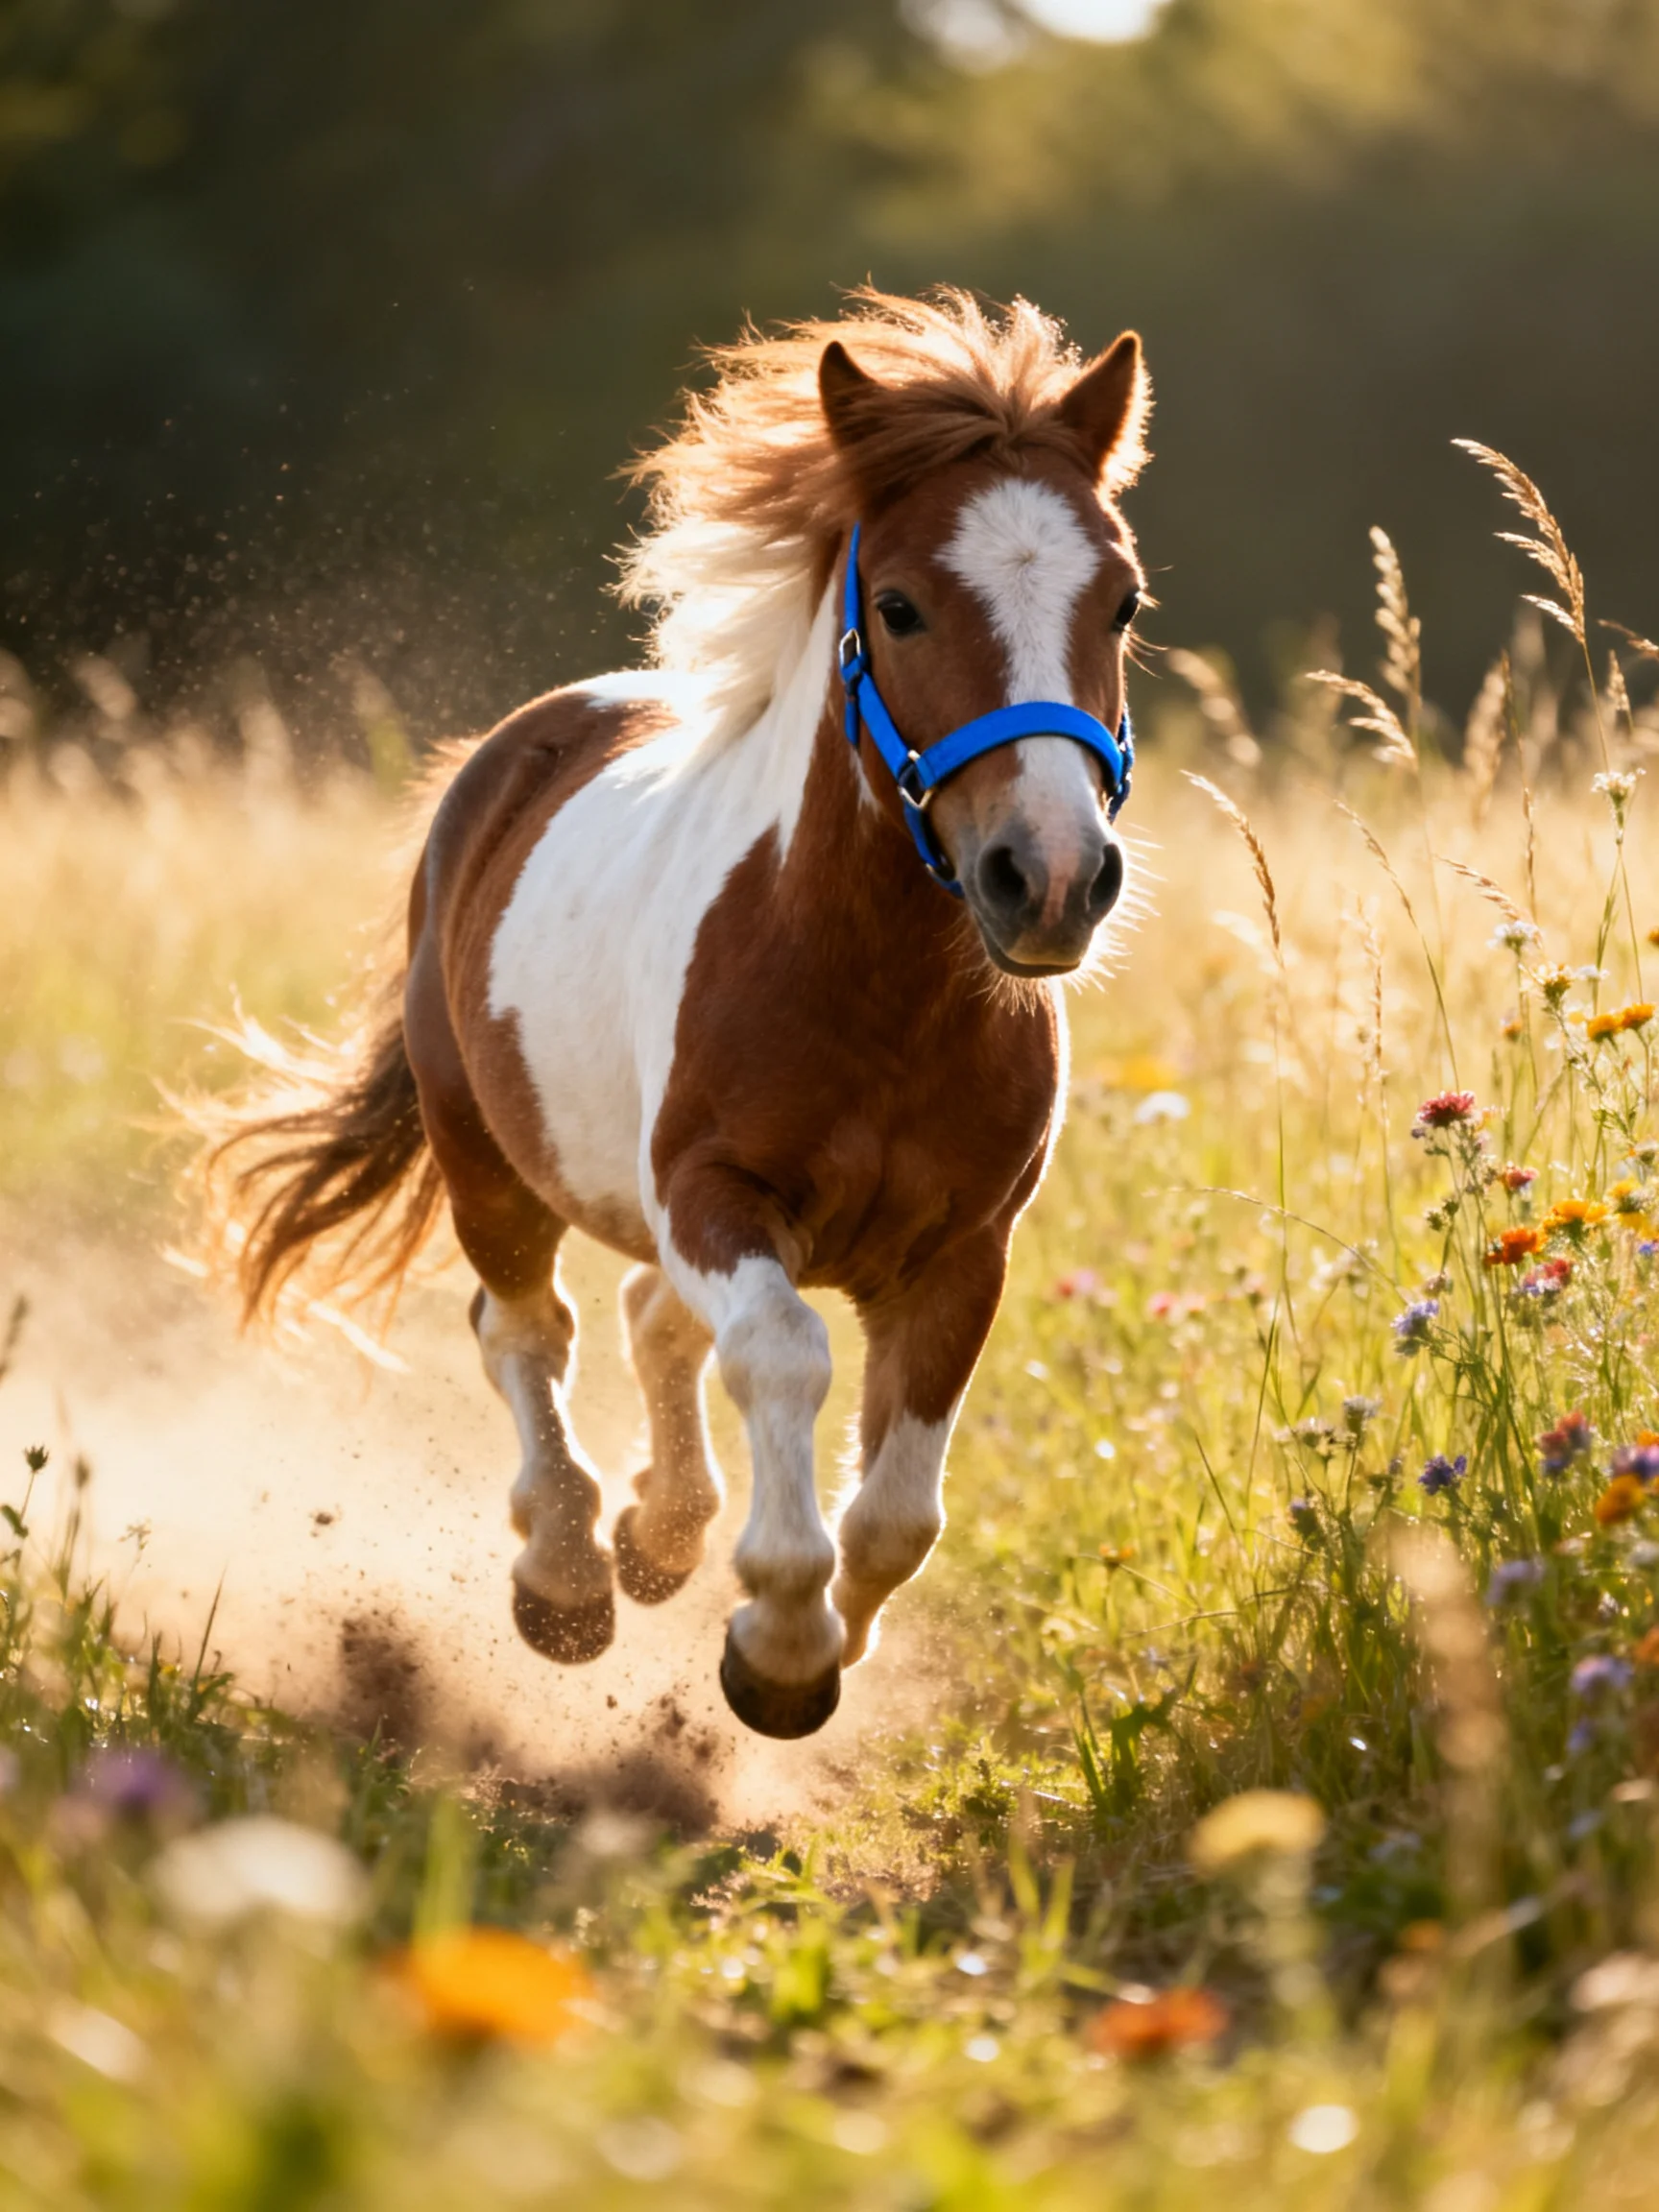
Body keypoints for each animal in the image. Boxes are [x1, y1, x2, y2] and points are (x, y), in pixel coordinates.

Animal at [212, 289, 1151, 1740]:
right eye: (899, 607)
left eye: (1122, 600)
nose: (1049, 876)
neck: (874, 995)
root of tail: (512, 753)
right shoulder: (716, 1192)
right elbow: (783, 1353)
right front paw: (778, 1638)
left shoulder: (965, 1252)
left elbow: (900, 1511)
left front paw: (803, 1652)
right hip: (487, 1164)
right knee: (528, 1330)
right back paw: (567, 1578)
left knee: (648, 1316)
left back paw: (660, 1535)